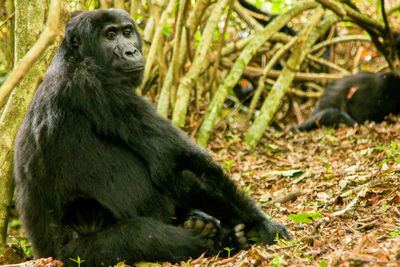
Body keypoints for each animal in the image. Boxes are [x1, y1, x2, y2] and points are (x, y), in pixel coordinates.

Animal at [14, 8, 290, 267]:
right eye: (109, 36)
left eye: (127, 32)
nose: (130, 52)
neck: (74, 57)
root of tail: (48, 254)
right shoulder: (101, 85)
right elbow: (178, 162)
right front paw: (261, 225)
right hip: (82, 254)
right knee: (145, 235)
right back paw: (220, 240)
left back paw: (201, 224)